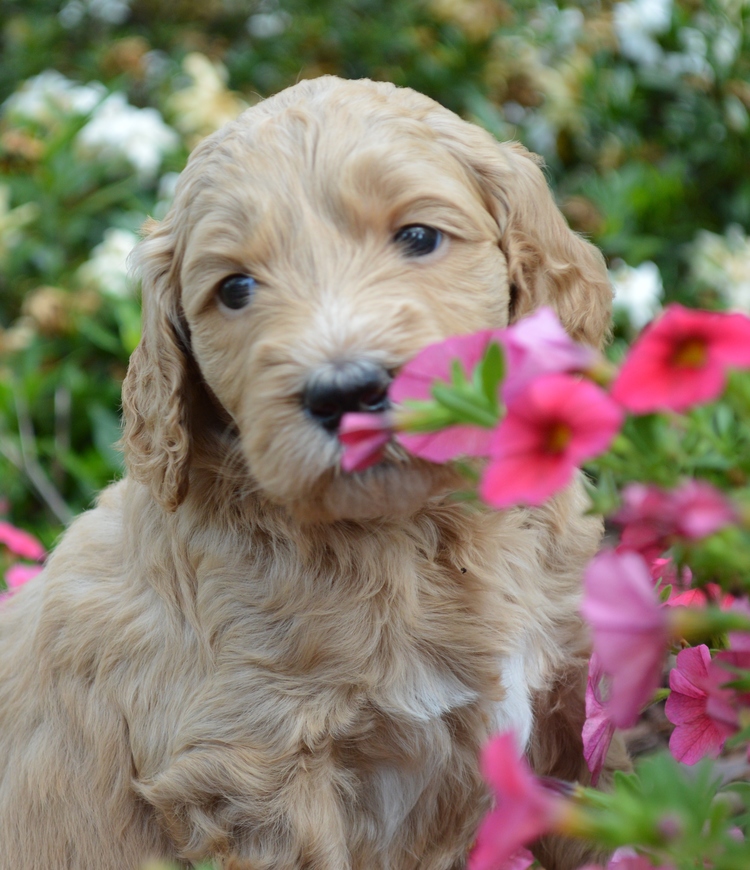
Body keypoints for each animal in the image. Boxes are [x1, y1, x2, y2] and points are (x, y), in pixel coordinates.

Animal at [0, 78, 628, 868]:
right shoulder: (252, 776)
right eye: (236, 288)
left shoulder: (570, 702)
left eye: (418, 237)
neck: (418, 536)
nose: (346, 392)